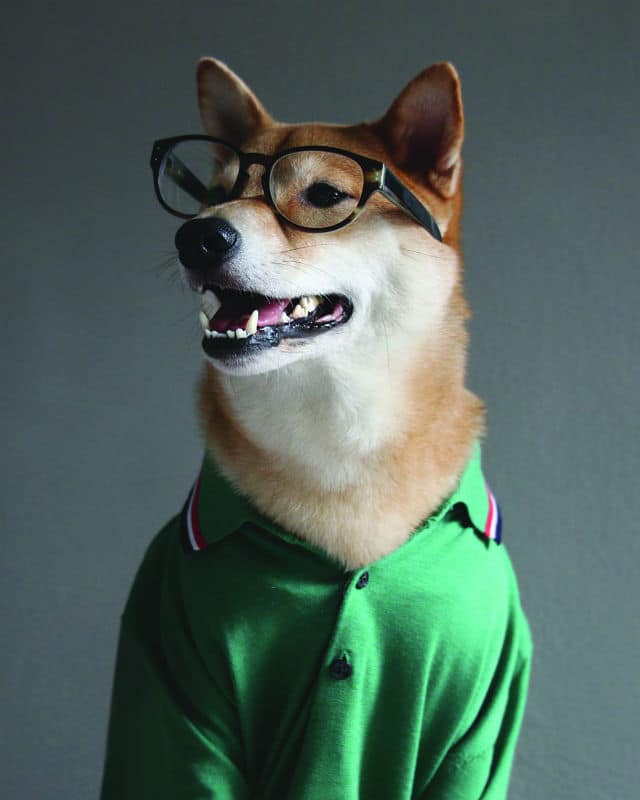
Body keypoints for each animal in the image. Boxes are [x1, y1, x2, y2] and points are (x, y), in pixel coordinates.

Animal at [100, 57, 528, 800]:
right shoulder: (174, 671)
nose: (198, 235)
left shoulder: (481, 709)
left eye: (324, 194)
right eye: (212, 194)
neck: (338, 443)